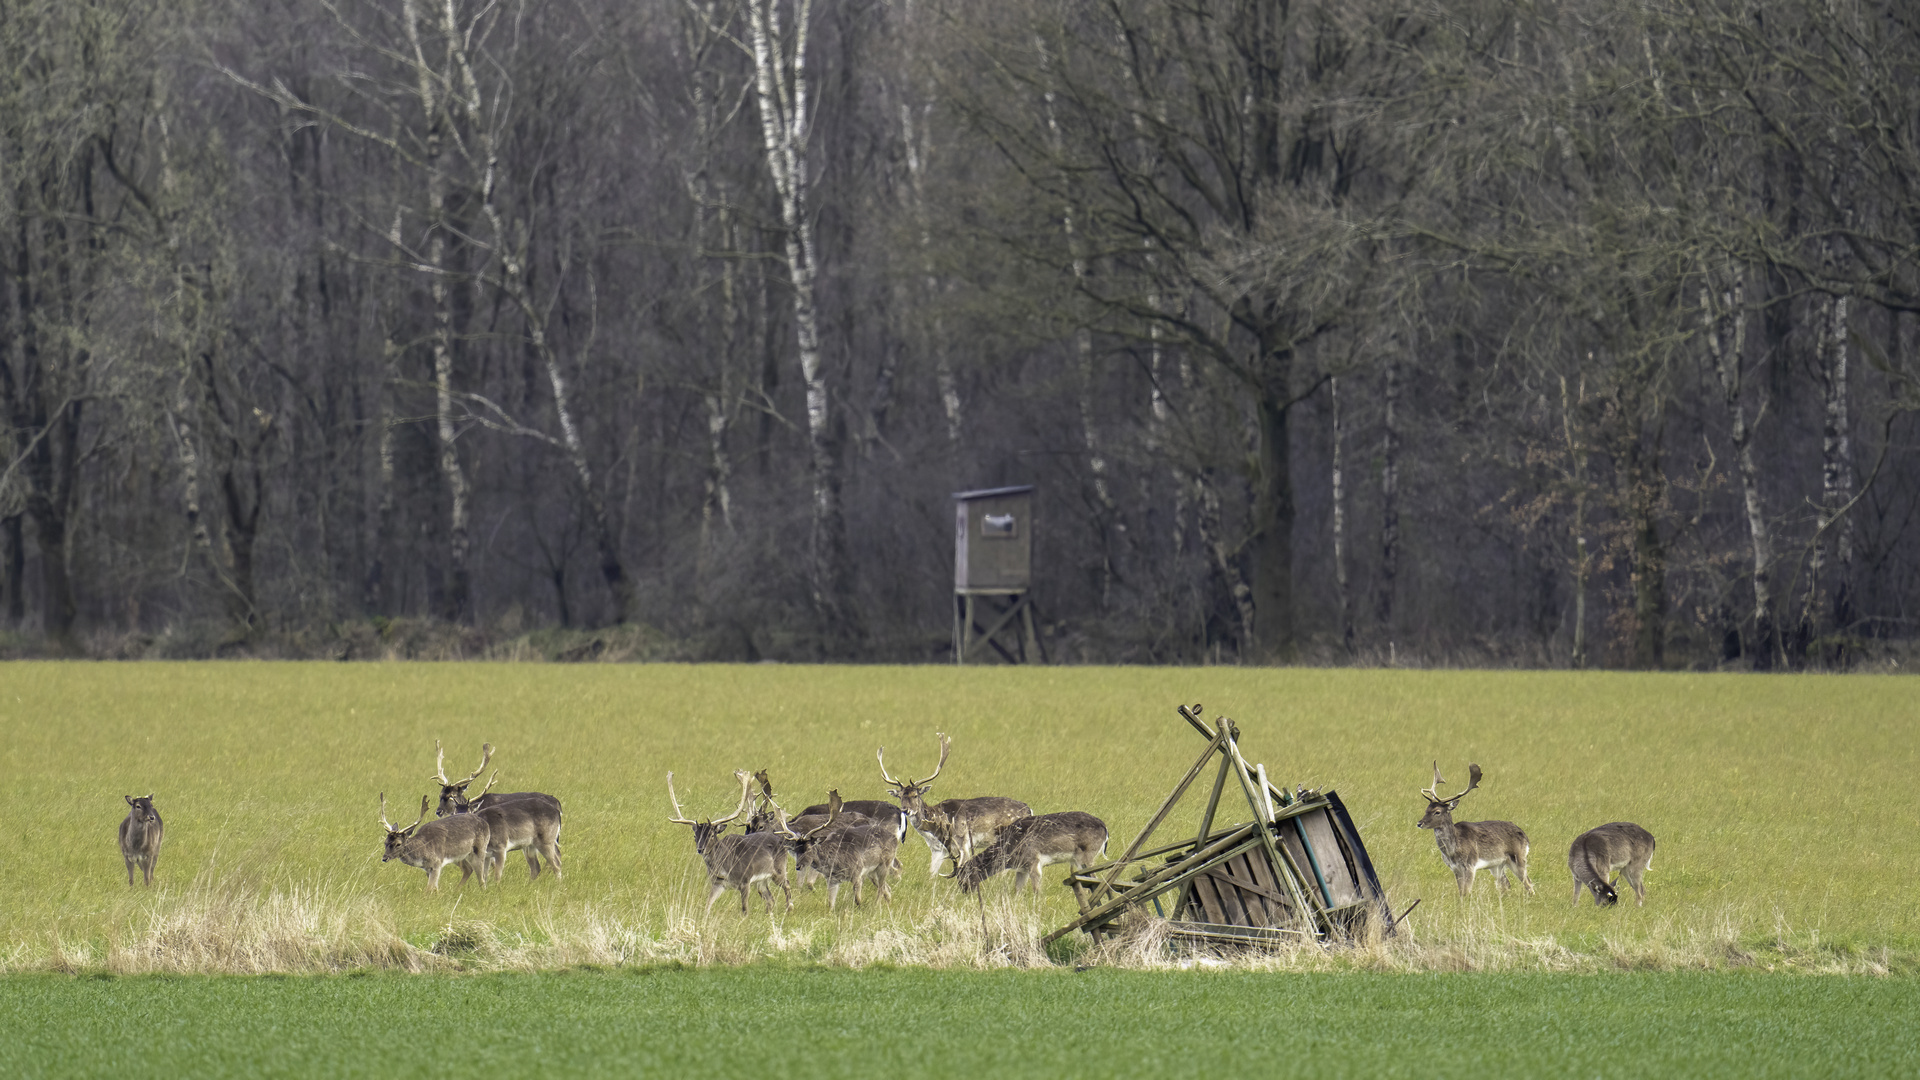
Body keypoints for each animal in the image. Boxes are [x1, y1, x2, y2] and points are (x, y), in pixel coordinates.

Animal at [883, 730, 1036, 876]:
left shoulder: (963, 843)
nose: (905, 810)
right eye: (900, 797)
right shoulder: (937, 849)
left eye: (915, 795)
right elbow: (931, 874)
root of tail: (1029, 809)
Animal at [948, 807, 1113, 891]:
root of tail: (1105, 828)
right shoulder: (1022, 869)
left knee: (1095, 878)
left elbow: (1036, 889)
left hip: (1087, 856)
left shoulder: (1034, 861)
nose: (964, 891)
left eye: (964, 876)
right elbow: (1017, 891)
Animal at [1420, 760, 1536, 895]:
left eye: (1437, 812)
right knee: (1506, 884)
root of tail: (1525, 836)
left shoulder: (1470, 864)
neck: (1453, 851)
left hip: (1518, 857)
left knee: (1528, 883)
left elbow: (1466, 892)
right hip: (1497, 865)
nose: (1419, 823)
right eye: (1426, 809)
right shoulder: (1455, 868)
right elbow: (1461, 892)